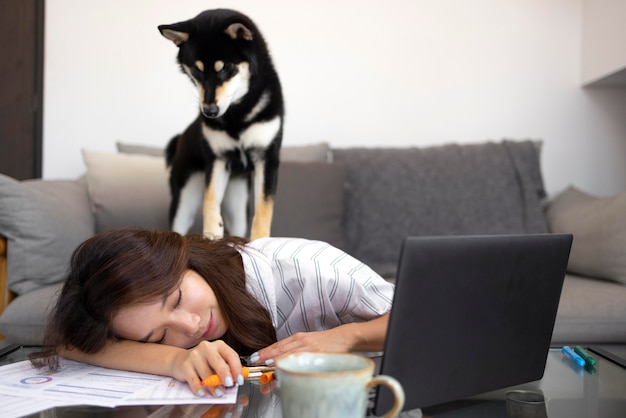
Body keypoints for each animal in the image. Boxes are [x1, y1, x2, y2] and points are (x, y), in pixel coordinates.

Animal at [158, 9, 282, 238]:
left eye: (226, 68)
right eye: (196, 71)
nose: (209, 112)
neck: (238, 115)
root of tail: (181, 138)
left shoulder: (267, 158)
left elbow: (263, 210)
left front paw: (260, 240)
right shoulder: (217, 160)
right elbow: (210, 203)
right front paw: (211, 236)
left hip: (236, 205)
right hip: (185, 200)